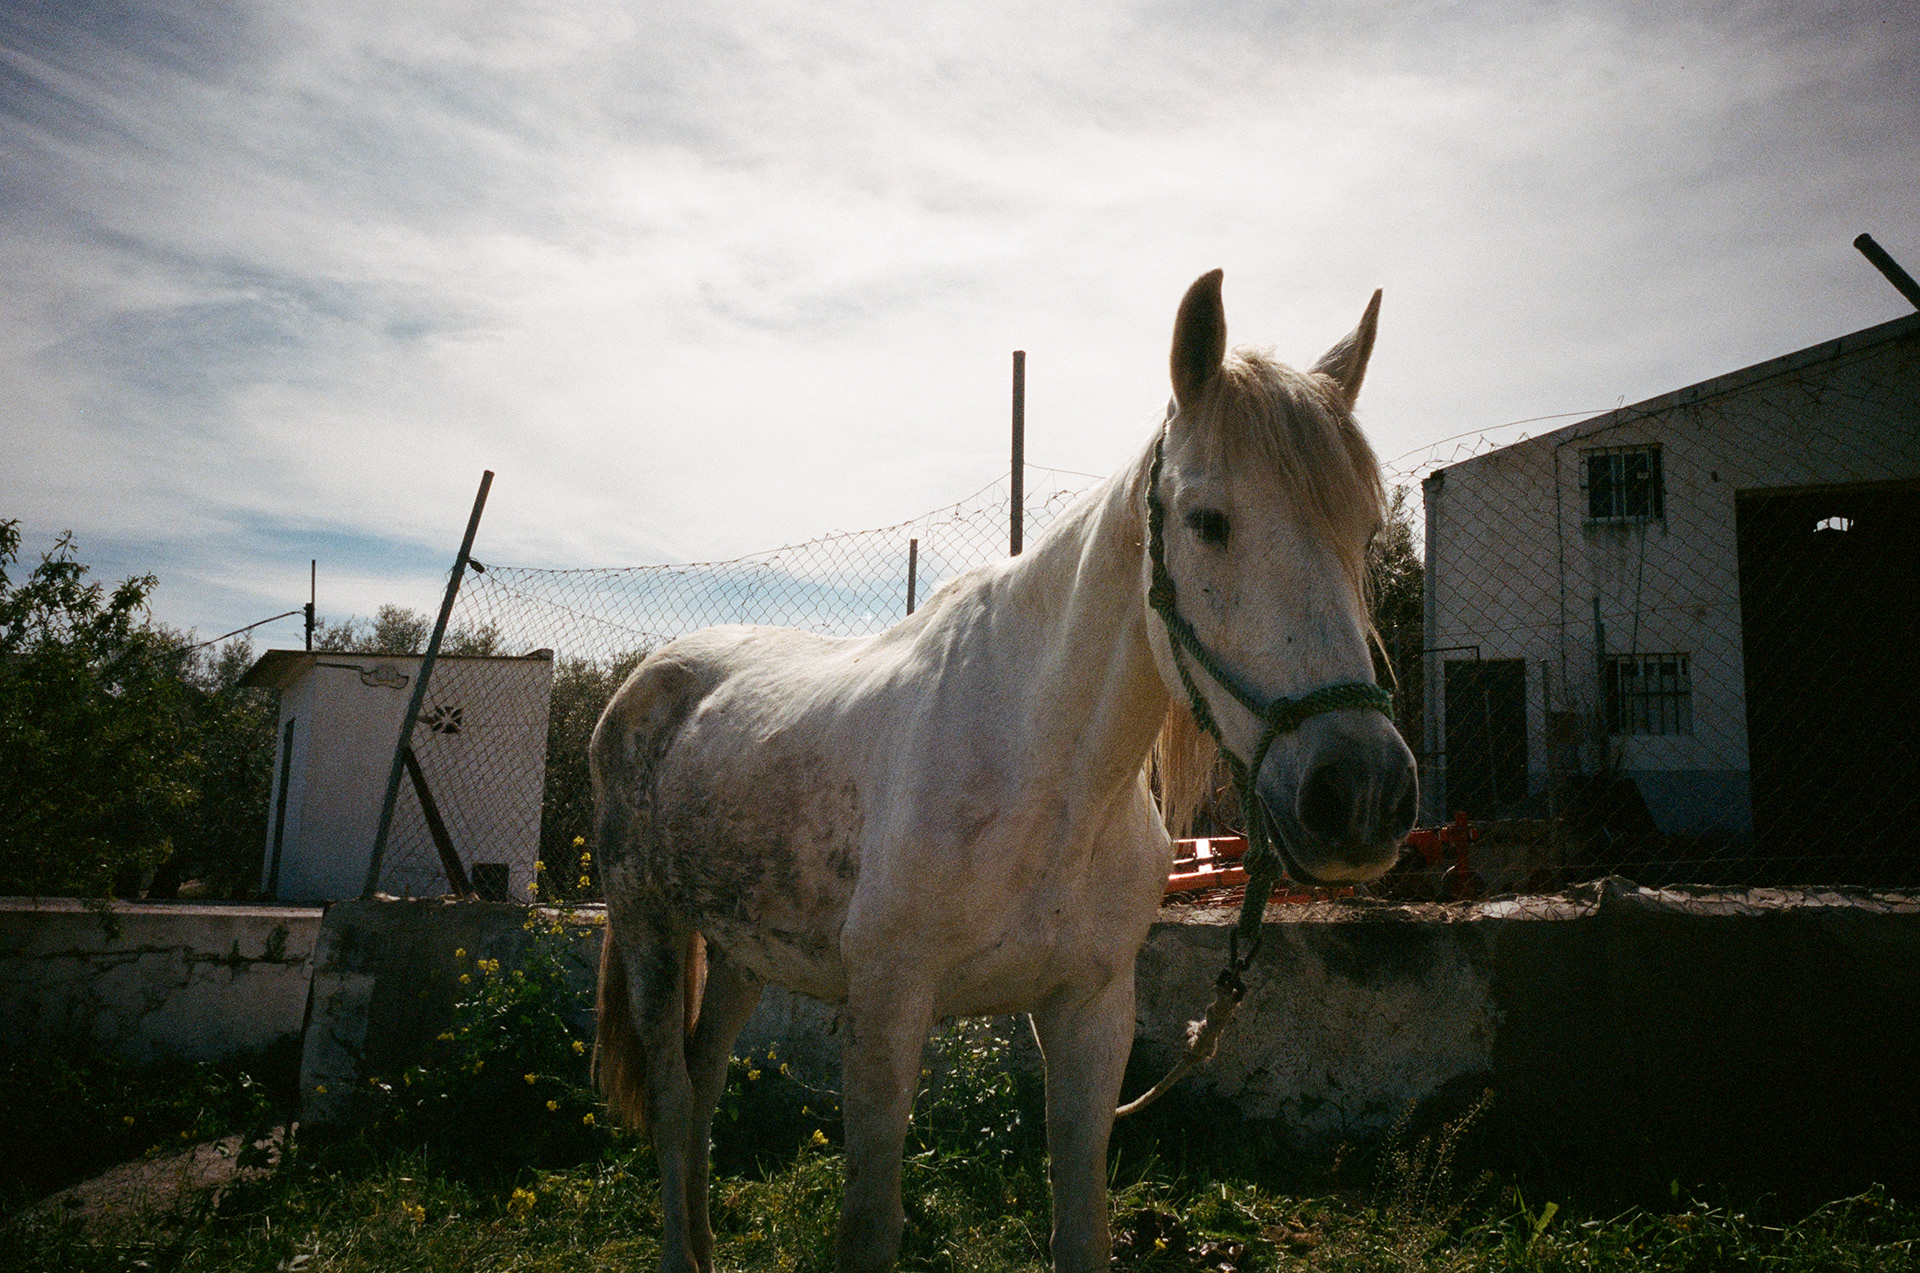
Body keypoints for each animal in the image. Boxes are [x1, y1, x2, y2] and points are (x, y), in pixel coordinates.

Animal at [590, 269, 1417, 1273]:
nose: (1362, 794)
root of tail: (647, 680)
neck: (1046, 780)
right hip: (649, 923)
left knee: (705, 1085)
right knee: (676, 1101)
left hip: (743, 948)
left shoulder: (1092, 1012)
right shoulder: (886, 1012)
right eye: (1207, 520)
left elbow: (1081, 1222)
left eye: (1365, 531)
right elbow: (868, 1227)